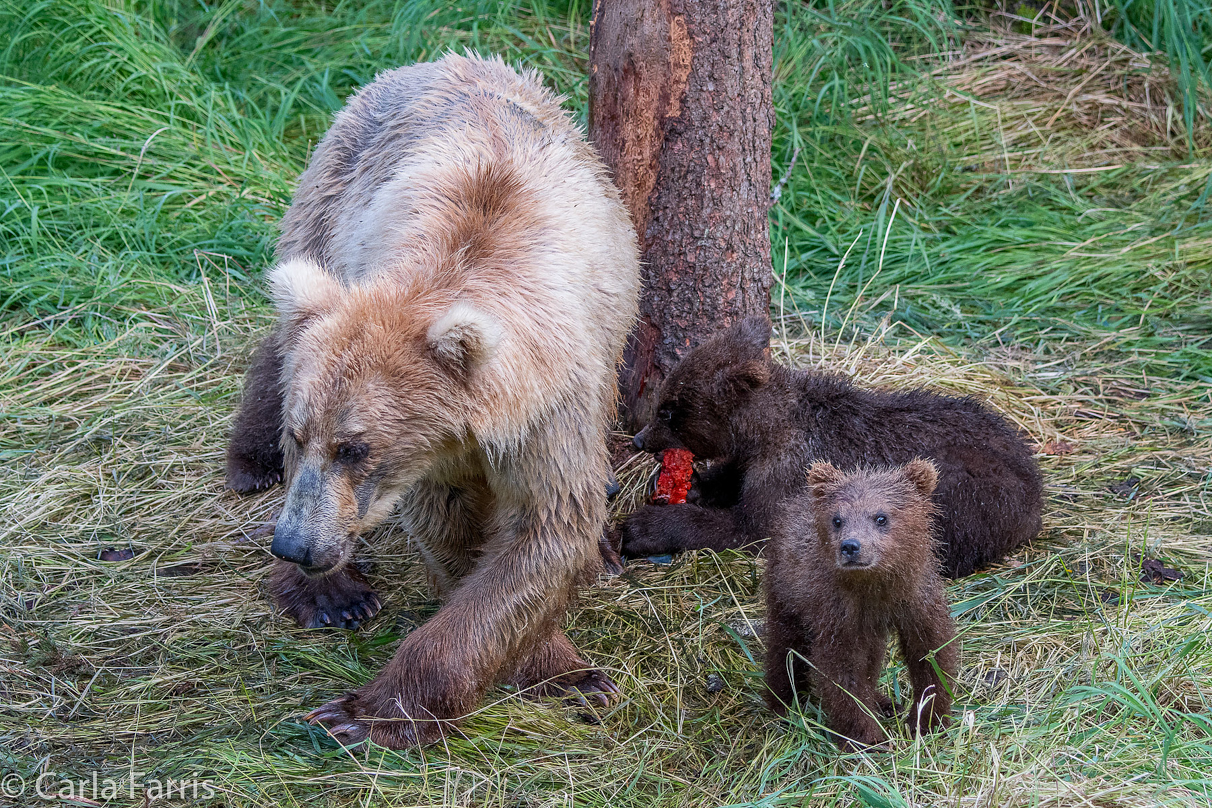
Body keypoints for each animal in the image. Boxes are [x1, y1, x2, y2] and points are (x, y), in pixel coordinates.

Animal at [227, 53, 644, 751]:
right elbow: (454, 531)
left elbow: (544, 531)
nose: (296, 545)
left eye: (355, 447)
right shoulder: (434, 456)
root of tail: (437, 59)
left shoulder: (553, 408)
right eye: (300, 435)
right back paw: (318, 574)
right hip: (327, 207)